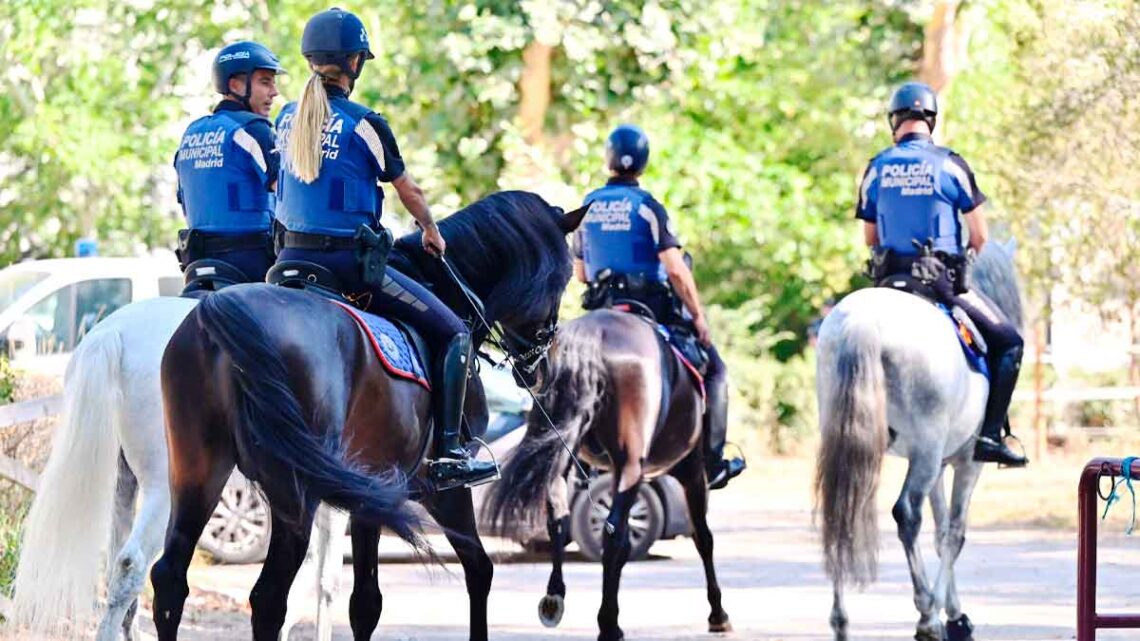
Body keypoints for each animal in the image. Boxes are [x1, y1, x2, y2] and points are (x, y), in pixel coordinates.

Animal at [151, 190, 588, 638]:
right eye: (563, 279)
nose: (540, 369)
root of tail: (222, 308)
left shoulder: (371, 493)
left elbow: (364, 603)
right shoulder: (442, 491)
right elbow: (477, 569)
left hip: (198, 474)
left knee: (170, 579)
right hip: (294, 495)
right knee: (268, 598)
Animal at [481, 307, 729, 634]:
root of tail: (592, 338)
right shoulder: (691, 472)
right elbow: (703, 537)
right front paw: (718, 613)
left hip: (561, 448)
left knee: (558, 516)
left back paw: (554, 597)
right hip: (633, 464)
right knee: (613, 535)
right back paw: (609, 622)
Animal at [816, 240, 1021, 638]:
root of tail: (863, 323)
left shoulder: (938, 463)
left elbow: (941, 533)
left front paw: (954, 613)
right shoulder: (965, 462)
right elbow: (954, 532)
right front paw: (949, 615)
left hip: (852, 443)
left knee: (839, 514)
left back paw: (840, 620)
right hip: (927, 451)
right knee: (907, 514)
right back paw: (926, 613)